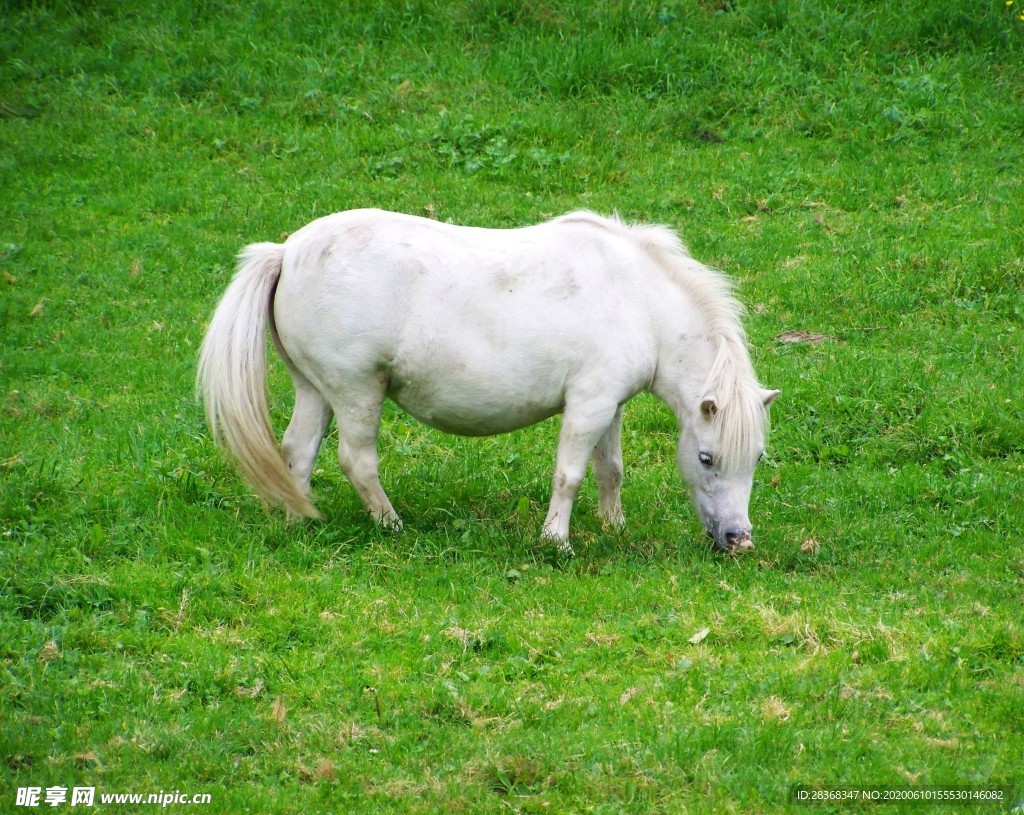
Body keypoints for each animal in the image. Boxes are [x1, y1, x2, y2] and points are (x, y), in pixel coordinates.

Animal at [197, 209, 779, 553]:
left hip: (316, 391)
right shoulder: (588, 405)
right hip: (355, 391)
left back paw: (299, 522)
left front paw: (613, 527)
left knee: (296, 451)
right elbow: (569, 475)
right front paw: (557, 543)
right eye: (706, 457)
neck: (636, 298)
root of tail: (287, 252)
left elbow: (609, 470)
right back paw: (391, 525)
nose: (738, 539)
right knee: (357, 462)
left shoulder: (609, 406)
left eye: (756, 457)